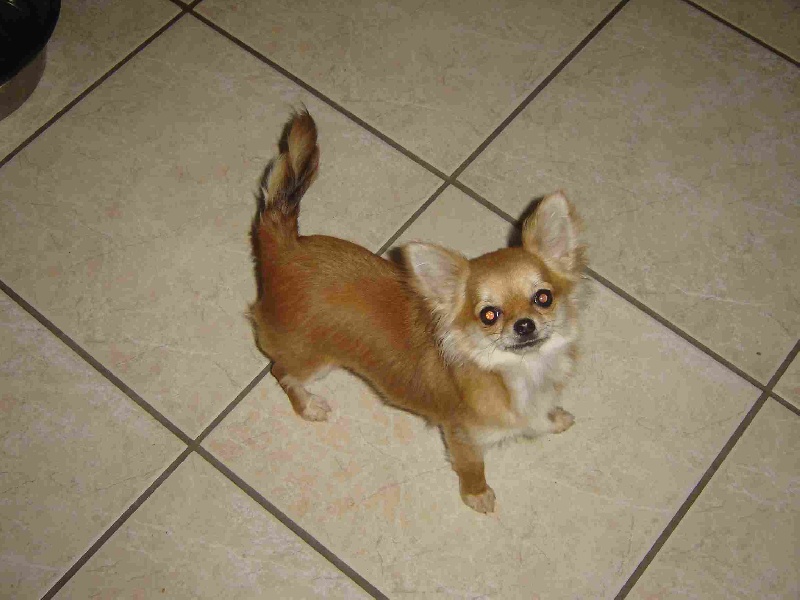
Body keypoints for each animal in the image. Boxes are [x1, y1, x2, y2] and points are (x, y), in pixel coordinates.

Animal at [249, 111, 587, 513]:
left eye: (543, 298)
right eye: (488, 315)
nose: (524, 325)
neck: (520, 371)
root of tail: (285, 248)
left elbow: (543, 415)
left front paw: (552, 419)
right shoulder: (462, 436)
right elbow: (472, 468)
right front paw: (477, 495)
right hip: (312, 360)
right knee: (281, 371)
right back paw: (309, 405)